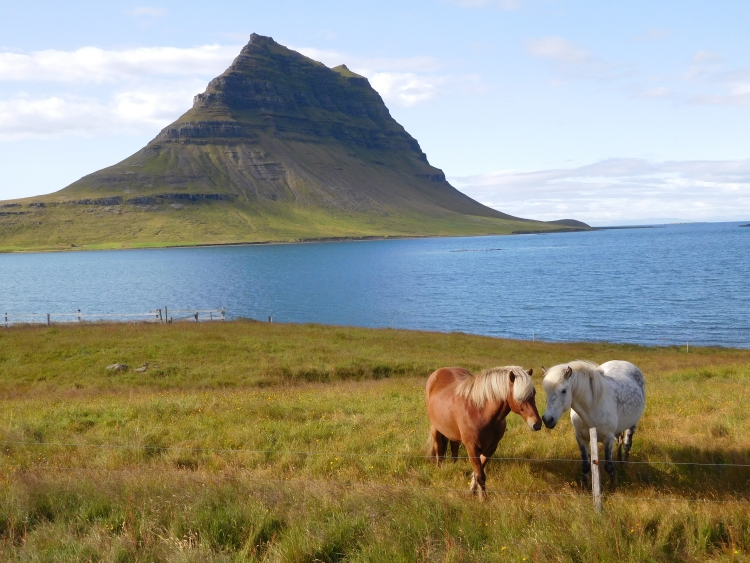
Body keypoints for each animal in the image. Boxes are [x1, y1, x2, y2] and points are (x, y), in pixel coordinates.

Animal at [426, 366, 544, 498]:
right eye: (519, 397)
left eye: (534, 393)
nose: (537, 424)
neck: (480, 412)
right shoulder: (472, 448)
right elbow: (480, 476)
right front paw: (483, 499)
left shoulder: (490, 448)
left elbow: (478, 472)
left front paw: (472, 491)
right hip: (435, 428)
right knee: (438, 448)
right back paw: (439, 468)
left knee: (454, 447)